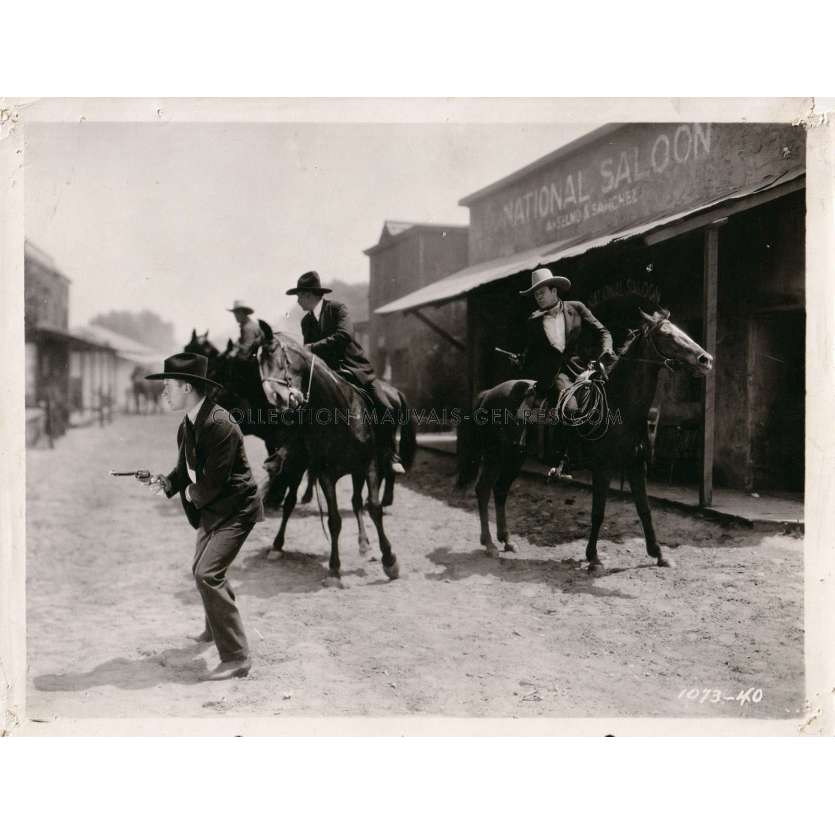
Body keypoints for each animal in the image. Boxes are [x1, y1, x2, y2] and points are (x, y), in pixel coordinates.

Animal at [458, 296, 712, 576]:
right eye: (666, 335)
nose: (706, 359)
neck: (619, 405)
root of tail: (488, 393)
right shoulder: (603, 469)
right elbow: (598, 512)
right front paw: (594, 558)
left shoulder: (637, 465)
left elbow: (644, 510)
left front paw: (658, 554)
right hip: (496, 455)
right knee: (483, 489)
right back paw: (490, 544)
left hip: (516, 456)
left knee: (500, 490)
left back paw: (507, 541)